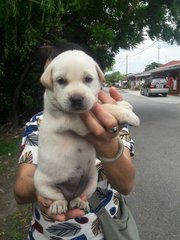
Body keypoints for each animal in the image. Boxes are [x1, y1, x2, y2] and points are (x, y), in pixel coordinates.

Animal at [34, 50, 141, 214]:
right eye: (61, 81)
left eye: (88, 79)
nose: (76, 99)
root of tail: (70, 194)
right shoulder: (77, 121)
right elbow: (106, 108)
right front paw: (129, 115)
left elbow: (100, 104)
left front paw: (123, 104)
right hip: (41, 183)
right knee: (57, 196)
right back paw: (58, 205)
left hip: (91, 180)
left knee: (81, 195)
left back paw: (79, 202)